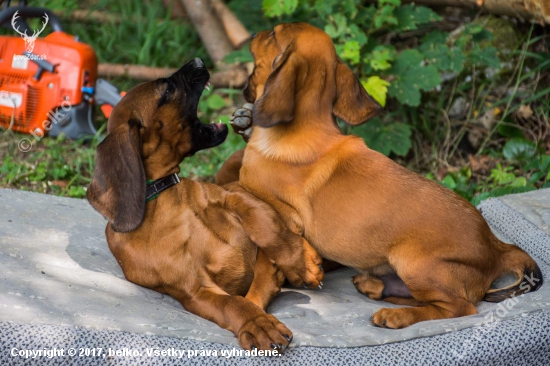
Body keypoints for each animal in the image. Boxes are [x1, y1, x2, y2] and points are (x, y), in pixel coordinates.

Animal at [85, 58, 324, 350]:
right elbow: (236, 303)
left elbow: (265, 226)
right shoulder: (194, 291)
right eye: (167, 90)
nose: (198, 61)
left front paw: (300, 262)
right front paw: (257, 323)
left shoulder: (234, 195)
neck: (167, 199)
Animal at [218, 24, 544, 330]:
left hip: (414, 263)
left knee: (458, 307)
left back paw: (394, 315)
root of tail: (497, 248)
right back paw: (373, 286)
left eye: (273, 34)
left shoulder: (283, 212)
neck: (302, 128)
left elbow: (259, 228)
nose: (252, 35)